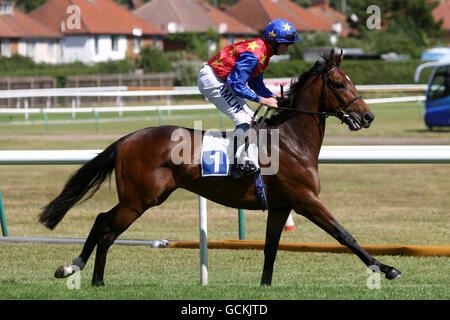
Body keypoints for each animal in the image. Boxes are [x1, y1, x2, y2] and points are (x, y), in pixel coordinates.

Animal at [40, 50, 402, 288]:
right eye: (339, 84)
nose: (368, 116)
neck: (291, 140)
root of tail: (128, 138)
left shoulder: (282, 206)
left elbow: (271, 247)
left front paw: (265, 286)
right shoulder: (306, 200)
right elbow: (345, 235)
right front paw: (386, 268)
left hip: (139, 197)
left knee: (101, 220)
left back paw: (71, 268)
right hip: (140, 200)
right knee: (107, 231)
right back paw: (96, 280)